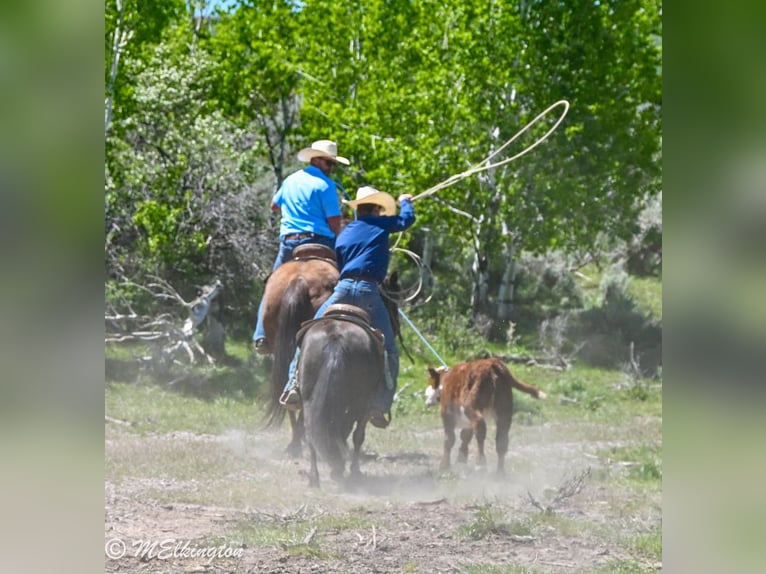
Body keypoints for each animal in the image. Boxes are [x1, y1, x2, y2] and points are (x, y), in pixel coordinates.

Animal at [295, 304, 386, 488]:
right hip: (360, 401)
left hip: (308, 399)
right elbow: (357, 436)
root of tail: (336, 336)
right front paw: (354, 472)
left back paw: (314, 478)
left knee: (311, 432)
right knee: (350, 432)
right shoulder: (365, 407)